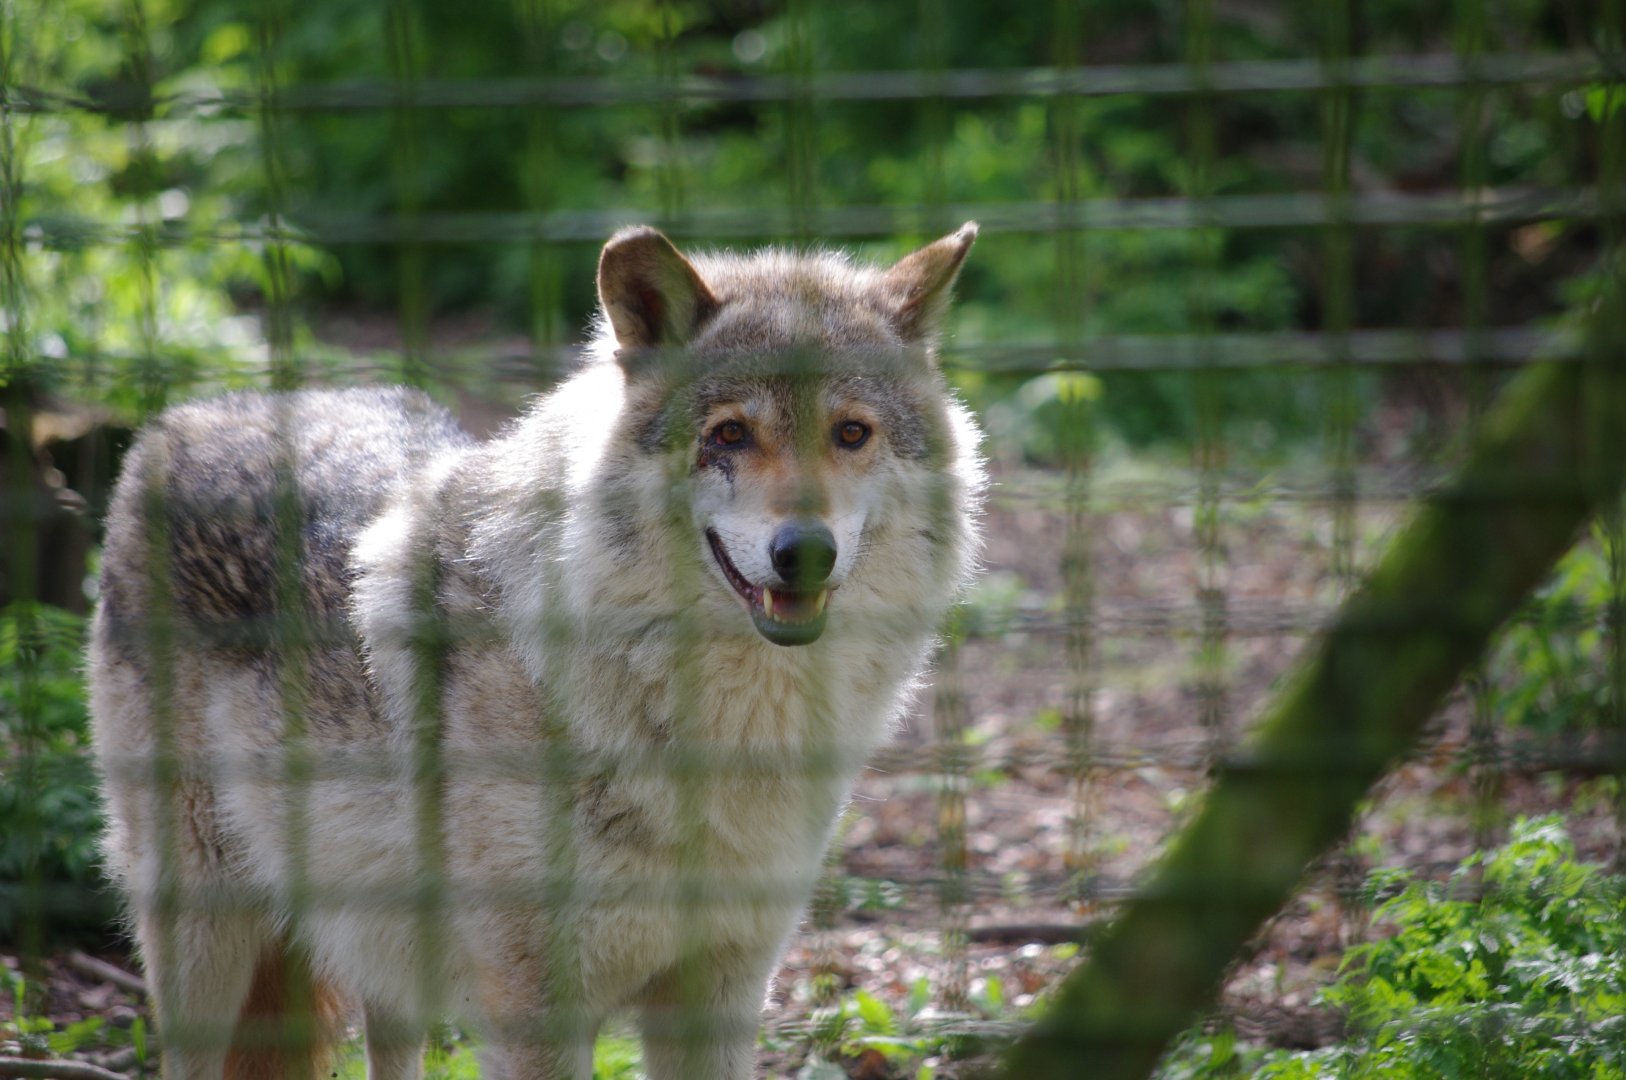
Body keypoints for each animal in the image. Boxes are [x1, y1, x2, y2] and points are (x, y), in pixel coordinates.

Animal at [90, 223, 983, 1079]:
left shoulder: (719, 995)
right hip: (204, 942)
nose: (805, 552)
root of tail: (188, 417)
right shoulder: (536, 1011)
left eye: (851, 433)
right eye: (730, 433)